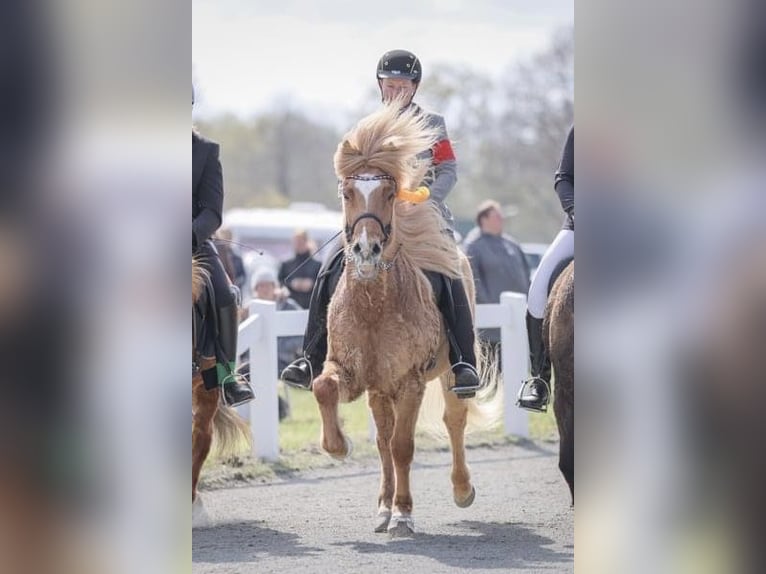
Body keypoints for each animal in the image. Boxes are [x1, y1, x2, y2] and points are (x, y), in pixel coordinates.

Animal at [312, 101, 500, 536]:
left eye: (389, 192)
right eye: (347, 192)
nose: (366, 251)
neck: (373, 306)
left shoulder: (410, 382)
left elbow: (403, 446)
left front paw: (403, 513)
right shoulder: (351, 371)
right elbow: (323, 388)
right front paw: (340, 448)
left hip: (447, 375)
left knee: (453, 421)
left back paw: (461, 490)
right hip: (380, 390)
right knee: (383, 438)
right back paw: (382, 506)